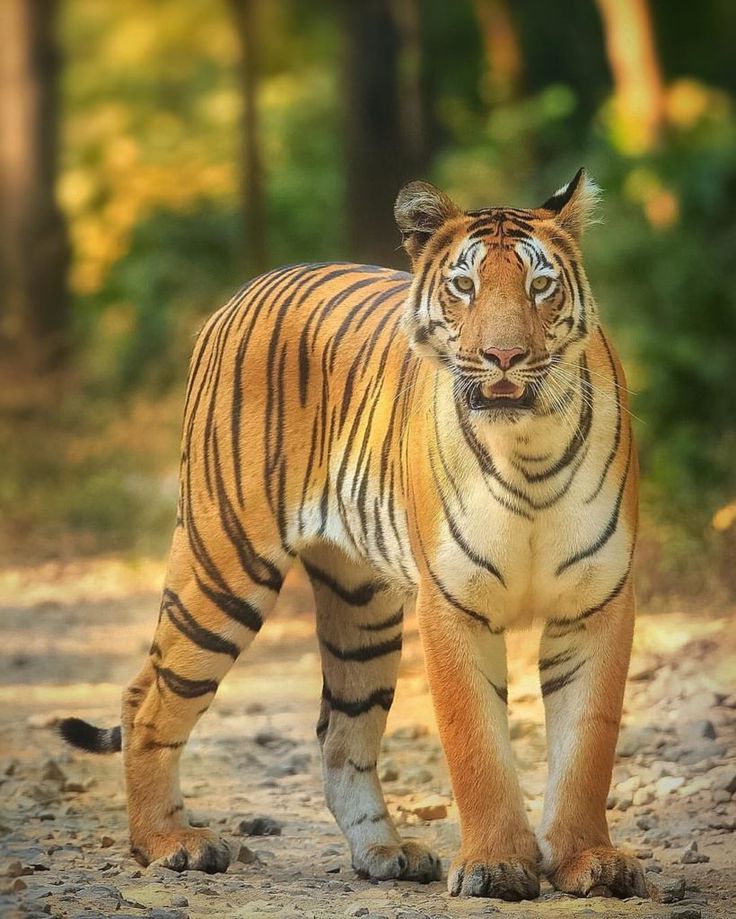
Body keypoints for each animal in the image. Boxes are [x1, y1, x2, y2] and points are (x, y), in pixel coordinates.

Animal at [61, 169, 644, 904]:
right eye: (464, 285)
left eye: (541, 285)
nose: (504, 356)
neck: (528, 447)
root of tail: (242, 293)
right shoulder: (453, 604)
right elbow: (477, 745)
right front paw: (497, 864)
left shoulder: (597, 602)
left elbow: (587, 744)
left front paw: (588, 858)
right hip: (222, 565)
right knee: (148, 698)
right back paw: (170, 843)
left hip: (361, 611)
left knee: (339, 735)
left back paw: (385, 852)